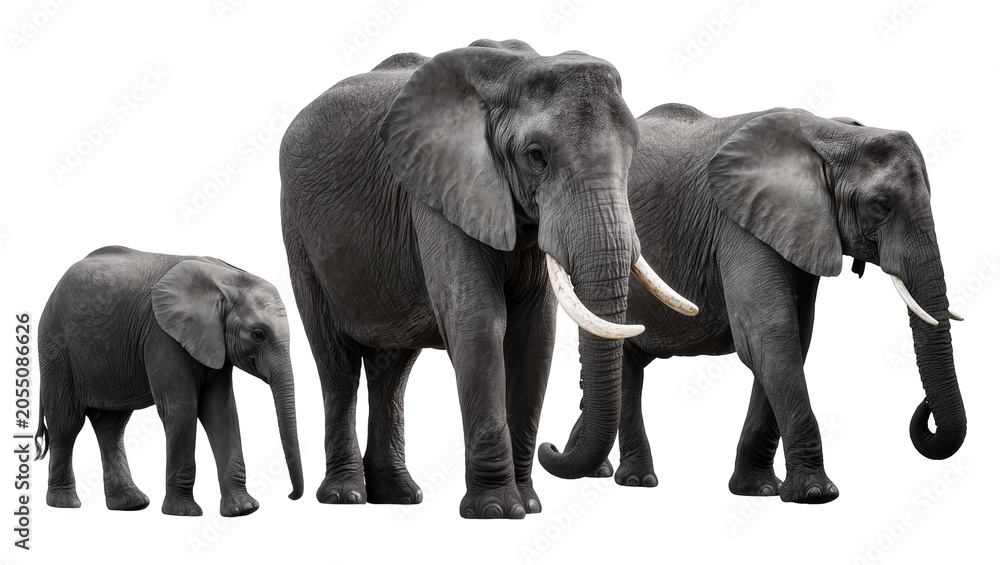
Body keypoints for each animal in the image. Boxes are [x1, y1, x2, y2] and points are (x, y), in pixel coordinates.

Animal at [36, 245, 304, 516]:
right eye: (259, 334)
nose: (291, 496)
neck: (224, 279)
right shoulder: (162, 334)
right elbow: (182, 408)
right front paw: (184, 512)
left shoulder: (214, 344)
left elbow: (221, 411)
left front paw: (243, 509)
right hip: (56, 348)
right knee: (66, 423)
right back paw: (65, 503)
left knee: (111, 426)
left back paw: (130, 503)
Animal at [279, 39, 694, 519]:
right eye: (537, 156)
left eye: (632, 153)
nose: (553, 447)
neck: (511, 72)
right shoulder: (438, 191)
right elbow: (478, 322)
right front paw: (496, 510)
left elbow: (535, 335)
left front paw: (529, 504)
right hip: (299, 234)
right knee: (337, 363)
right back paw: (345, 496)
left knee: (393, 370)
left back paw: (399, 496)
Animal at [544, 105, 966, 503]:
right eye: (881, 204)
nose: (925, 408)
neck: (832, 133)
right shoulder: (739, 224)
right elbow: (768, 335)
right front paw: (816, 494)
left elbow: (790, 340)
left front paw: (758, 490)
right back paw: (629, 478)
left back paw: (595, 468)